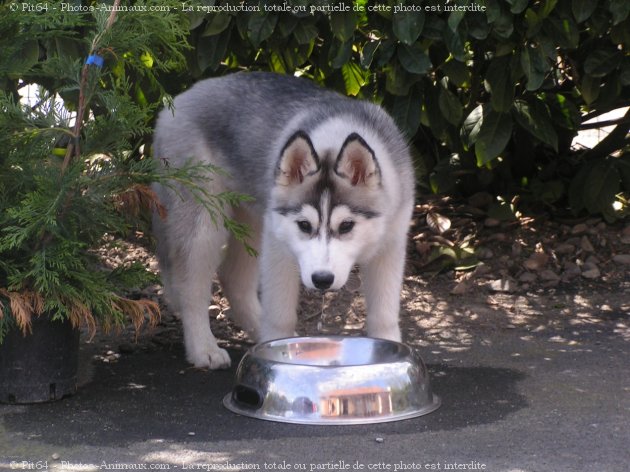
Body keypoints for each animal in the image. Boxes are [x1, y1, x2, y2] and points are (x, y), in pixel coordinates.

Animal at [154, 73, 418, 368]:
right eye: (304, 225)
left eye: (346, 226)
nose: (322, 280)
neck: (334, 139)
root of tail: (177, 100)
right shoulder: (279, 247)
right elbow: (279, 312)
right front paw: (278, 348)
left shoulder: (391, 245)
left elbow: (384, 313)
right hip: (204, 223)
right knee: (191, 287)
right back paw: (204, 348)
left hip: (253, 222)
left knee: (233, 278)